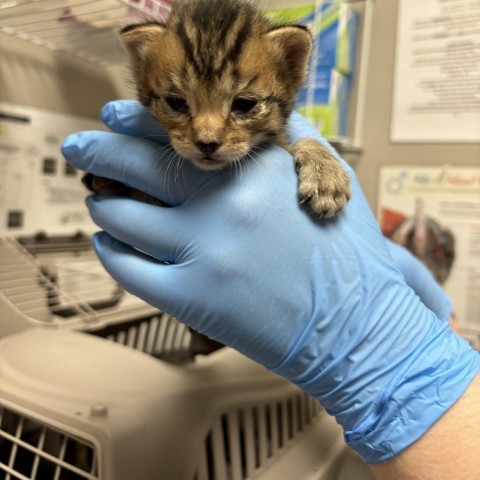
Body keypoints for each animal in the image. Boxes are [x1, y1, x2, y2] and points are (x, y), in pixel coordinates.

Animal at [84, 0, 350, 218]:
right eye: (177, 103)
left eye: (244, 104)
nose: (207, 143)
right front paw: (105, 179)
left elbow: (306, 141)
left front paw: (325, 175)